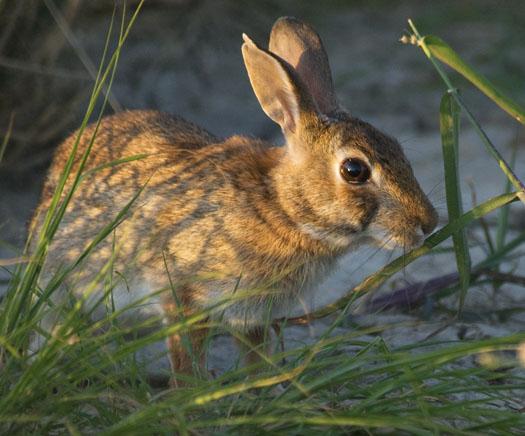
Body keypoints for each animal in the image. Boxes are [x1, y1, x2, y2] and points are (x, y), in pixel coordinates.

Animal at [29, 16, 438, 378]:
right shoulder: (185, 294)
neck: (284, 209)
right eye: (354, 170)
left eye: (397, 146)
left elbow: (256, 358)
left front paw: (259, 390)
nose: (429, 223)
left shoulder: (251, 314)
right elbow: (187, 358)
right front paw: (190, 398)